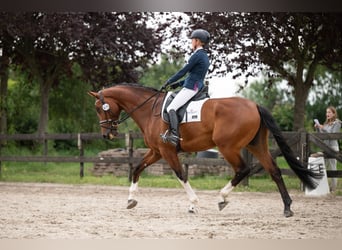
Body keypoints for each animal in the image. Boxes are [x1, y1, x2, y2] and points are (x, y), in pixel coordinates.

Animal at [89, 83, 324, 217]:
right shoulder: (156, 151)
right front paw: (131, 200)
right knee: (274, 170)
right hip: (256, 145)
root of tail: (254, 105)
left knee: (243, 170)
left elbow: (181, 174)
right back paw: (287, 207)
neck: (149, 110)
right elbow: (137, 168)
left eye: (100, 108)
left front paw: (194, 205)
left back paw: (222, 198)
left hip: (228, 147)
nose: (107, 135)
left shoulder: (167, 151)